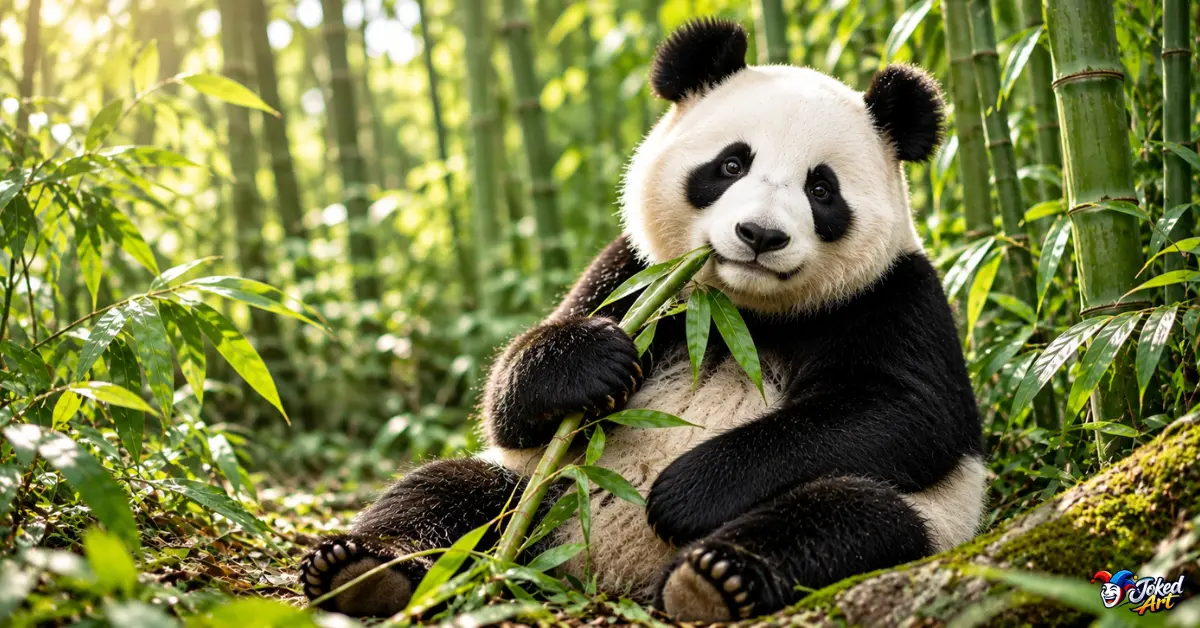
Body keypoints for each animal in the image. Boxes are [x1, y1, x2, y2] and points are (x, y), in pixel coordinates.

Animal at [299, 17, 984, 622]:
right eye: (731, 165)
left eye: (822, 189)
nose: (760, 235)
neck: (740, 312)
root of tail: (601, 574)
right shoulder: (634, 272)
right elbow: (507, 399)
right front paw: (592, 364)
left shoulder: (894, 296)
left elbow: (905, 412)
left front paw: (683, 491)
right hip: (541, 487)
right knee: (449, 491)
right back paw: (363, 571)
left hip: (924, 517)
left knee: (848, 516)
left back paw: (714, 580)